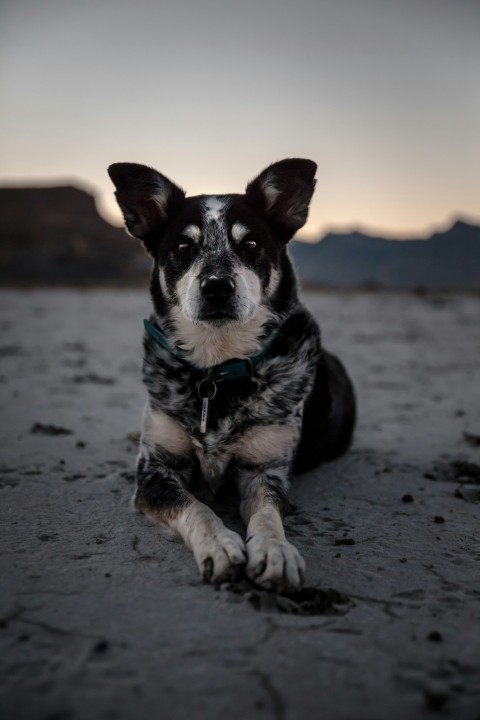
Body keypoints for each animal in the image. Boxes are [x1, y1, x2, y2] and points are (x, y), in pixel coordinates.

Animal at [109, 160, 356, 592]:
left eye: (251, 245)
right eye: (183, 247)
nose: (217, 287)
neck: (216, 370)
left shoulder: (265, 470)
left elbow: (268, 515)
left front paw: (275, 552)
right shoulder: (155, 470)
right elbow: (195, 507)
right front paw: (220, 545)